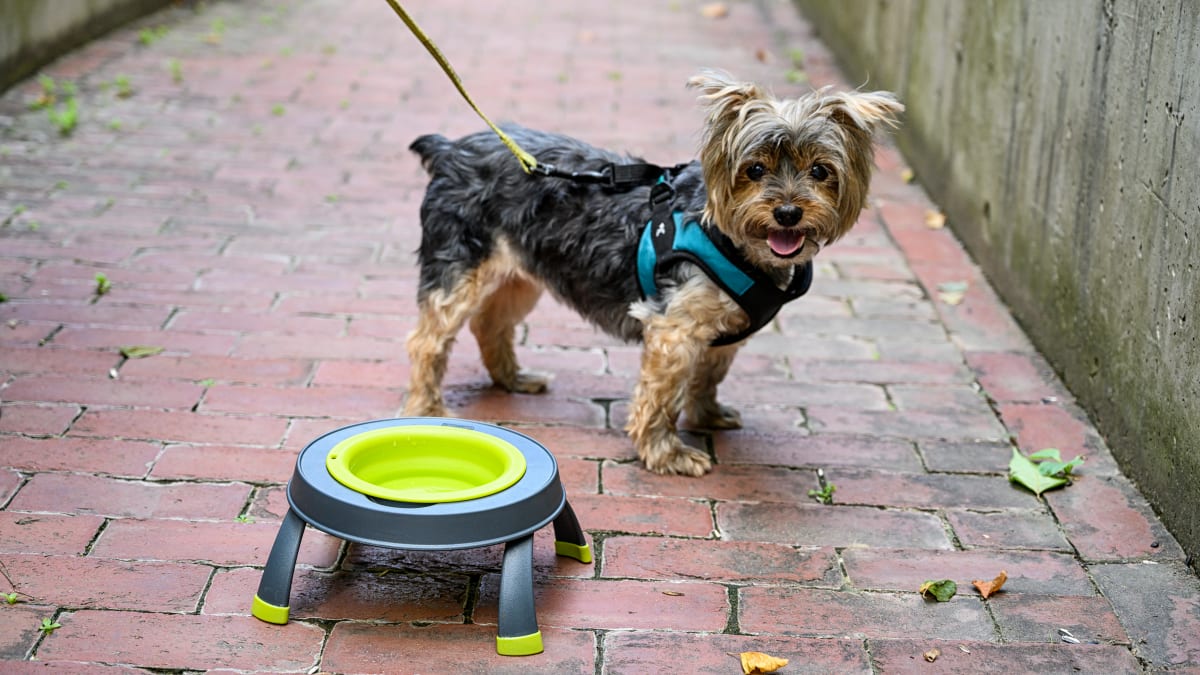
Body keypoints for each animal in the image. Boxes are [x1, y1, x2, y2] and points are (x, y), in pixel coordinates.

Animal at [403, 72, 902, 473]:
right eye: (754, 169)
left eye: (820, 170)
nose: (787, 212)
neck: (735, 241)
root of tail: (448, 150)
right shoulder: (673, 328)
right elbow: (662, 396)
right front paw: (667, 452)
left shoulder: (724, 330)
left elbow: (708, 376)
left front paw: (708, 415)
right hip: (459, 268)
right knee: (428, 341)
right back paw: (426, 408)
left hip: (521, 273)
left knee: (492, 323)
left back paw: (512, 379)